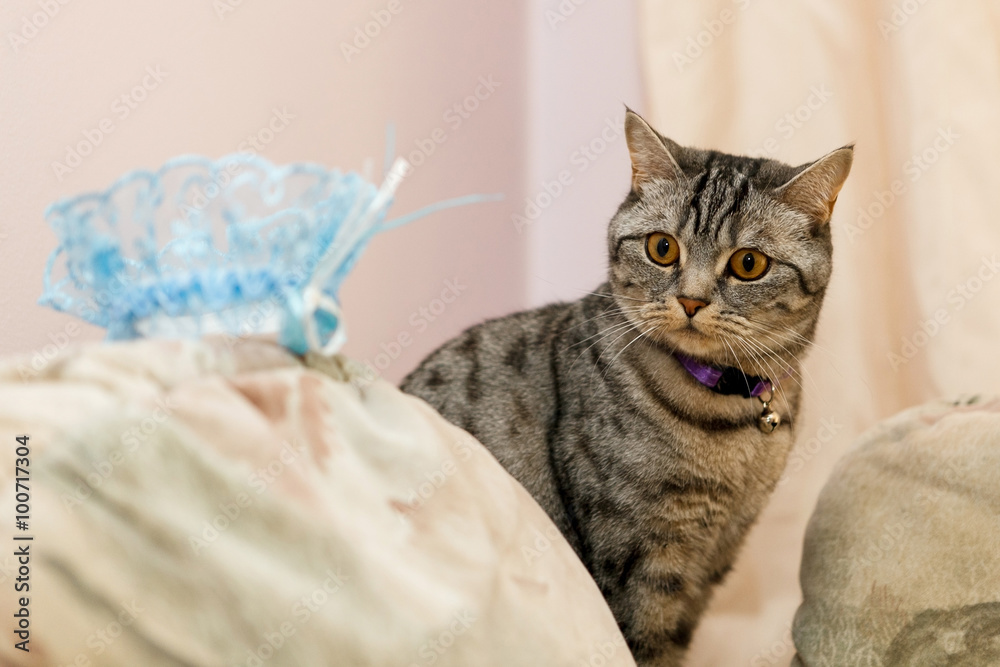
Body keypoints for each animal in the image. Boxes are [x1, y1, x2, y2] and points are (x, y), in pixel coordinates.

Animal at [398, 107, 852, 664]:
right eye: (662, 248)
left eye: (749, 263)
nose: (691, 300)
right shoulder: (639, 557)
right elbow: (642, 641)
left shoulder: (717, 553)